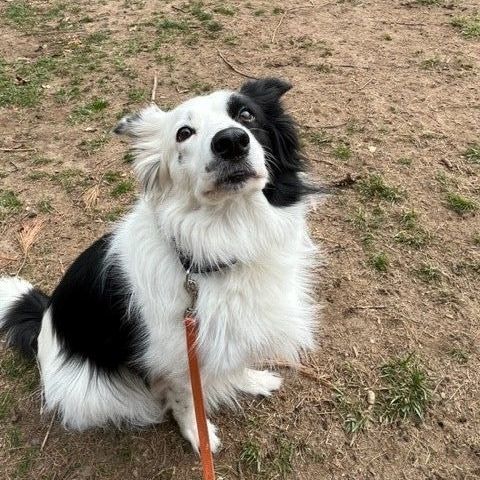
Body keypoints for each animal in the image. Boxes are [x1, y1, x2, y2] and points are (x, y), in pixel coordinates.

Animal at [1, 77, 320, 452]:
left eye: (246, 115)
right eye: (184, 133)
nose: (231, 141)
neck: (221, 239)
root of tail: (44, 320)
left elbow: (233, 362)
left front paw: (250, 379)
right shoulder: (177, 362)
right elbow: (187, 401)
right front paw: (198, 434)